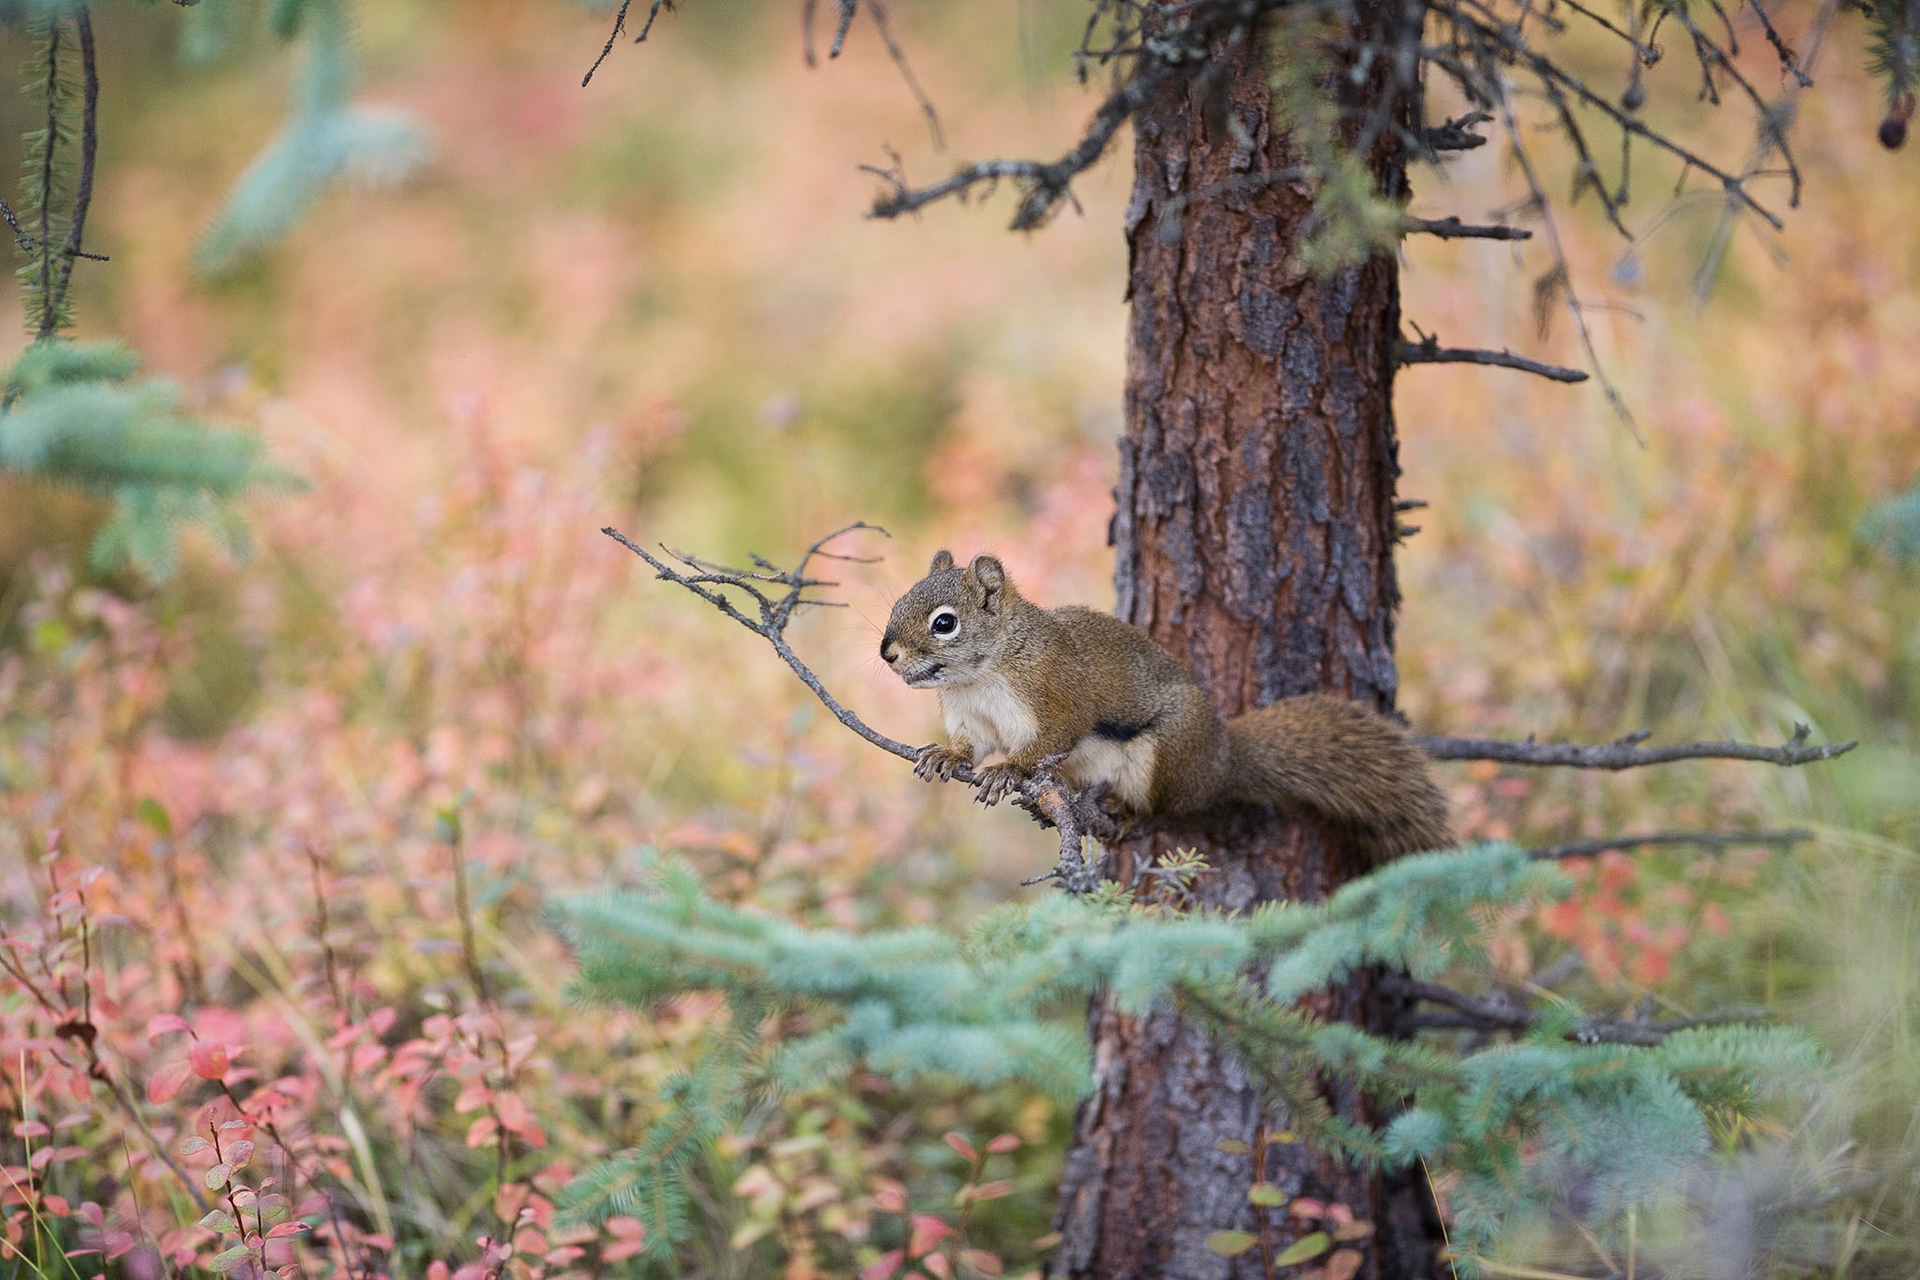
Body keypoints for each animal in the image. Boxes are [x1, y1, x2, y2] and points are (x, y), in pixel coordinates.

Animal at [879, 550, 1452, 861]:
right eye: (898, 601)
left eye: (945, 622)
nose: (887, 653)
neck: (980, 676)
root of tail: (1222, 763)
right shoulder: (969, 716)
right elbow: (971, 746)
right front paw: (946, 756)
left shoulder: (1054, 692)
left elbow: (1054, 738)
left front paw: (1008, 770)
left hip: (1163, 755)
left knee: (1161, 809)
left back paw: (1122, 809)